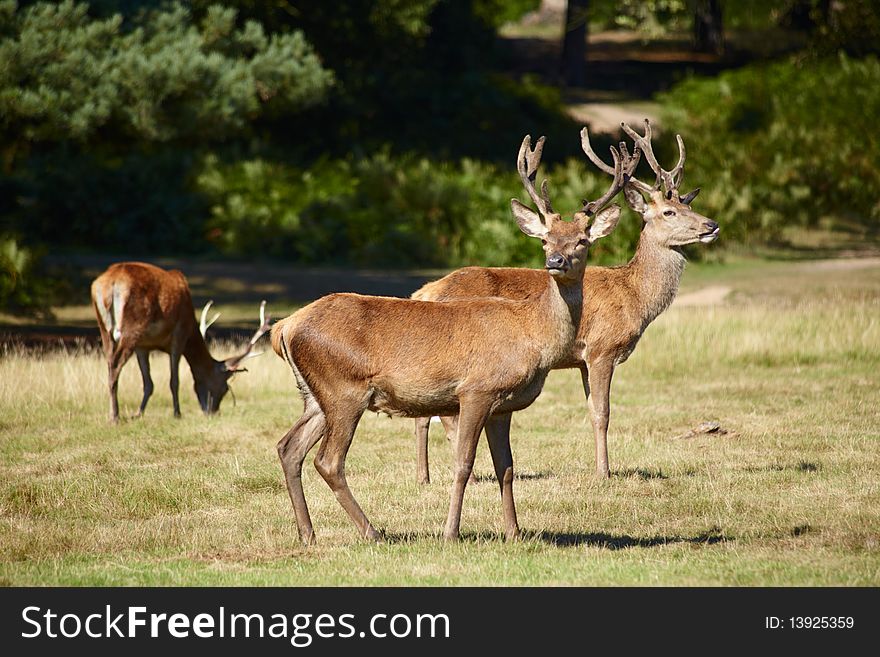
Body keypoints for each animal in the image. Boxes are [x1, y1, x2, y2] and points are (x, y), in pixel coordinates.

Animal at [90, 262, 270, 420]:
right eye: (225, 388)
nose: (213, 412)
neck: (191, 328)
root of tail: (111, 283)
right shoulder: (179, 336)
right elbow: (174, 381)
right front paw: (177, 413)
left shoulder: (143, 346)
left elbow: (148, 383)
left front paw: (138, 414)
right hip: (132, 328)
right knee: (115, 365)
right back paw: (114, 416)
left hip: (104, 327)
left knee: (109, 363)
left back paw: (113, 413)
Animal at [268, 132, 632, 544]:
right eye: (545, 240)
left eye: (583, 241)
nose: (555, 262)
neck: (532, 337)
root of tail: (285, 327)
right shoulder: (476, 390)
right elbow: (464, 463)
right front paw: (451, 532)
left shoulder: (502, 405)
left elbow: (506, 466)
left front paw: (514, 532)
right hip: (344, 389)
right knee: (328, 461)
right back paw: (372, 532)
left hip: (315, 395)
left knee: (288, 448)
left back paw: (308, 533)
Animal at [410, 120, 716, 482]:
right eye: (669, 212)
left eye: (690, 207)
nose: (712, 225)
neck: (634, 297)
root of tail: (426, 291)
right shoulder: (602, 348)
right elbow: (602, 413)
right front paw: (604, 472)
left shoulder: (582, 360)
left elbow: (591, 409)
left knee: (424, 414)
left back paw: (424, 477)